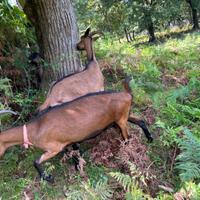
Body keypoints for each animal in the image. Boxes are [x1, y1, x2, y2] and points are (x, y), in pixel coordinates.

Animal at [0, 78, 152, 183]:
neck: (35, 128)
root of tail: (126, 94)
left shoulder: (54, 148)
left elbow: (36, 161)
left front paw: (48, 178)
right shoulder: (68, 143)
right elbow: (75, 155)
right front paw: (78, 170)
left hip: (121, 120)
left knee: (127, 138)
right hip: (122, 117)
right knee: (141, 121)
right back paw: (150, 138)